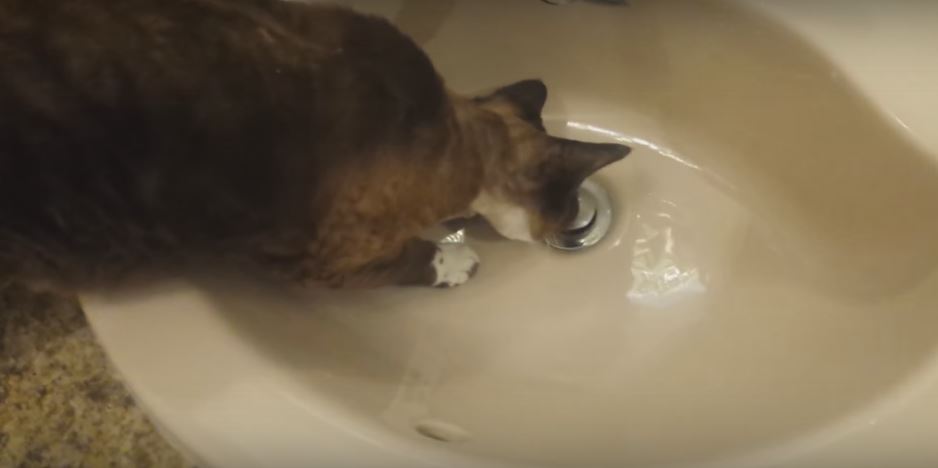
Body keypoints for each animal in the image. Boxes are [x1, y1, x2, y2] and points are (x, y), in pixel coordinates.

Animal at [1, 0, 628, 292]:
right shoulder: (325, 261)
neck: (464, 140)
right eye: (570, 209)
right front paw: (454, 259)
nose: (570, 229)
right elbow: (408, 259)